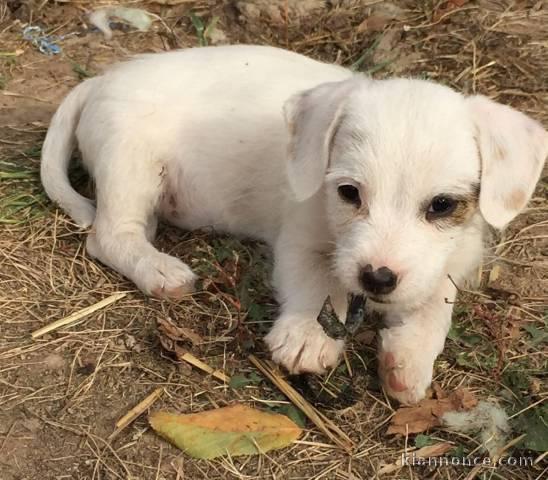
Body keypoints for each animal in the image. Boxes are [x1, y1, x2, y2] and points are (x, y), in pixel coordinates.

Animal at [40, 46, 544, 404]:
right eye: (349, 193)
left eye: (442, 205)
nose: (377, 279)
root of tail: (102, 79)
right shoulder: (300, 243)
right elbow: (319, 283)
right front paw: (307, 335)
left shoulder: (450, 260)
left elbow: (435, 304)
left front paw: (410, 356)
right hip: (133, 164)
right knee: (110, 235)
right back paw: (159, 269)